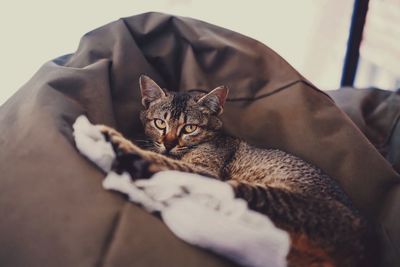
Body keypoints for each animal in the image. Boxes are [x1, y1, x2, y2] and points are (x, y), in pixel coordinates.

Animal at [99, 75, 368, 267]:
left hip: (261, 194)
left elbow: (174, 163)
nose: (169, 143)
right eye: (159, 123)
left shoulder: (205, 169)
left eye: (189, 128)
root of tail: (365, 244)